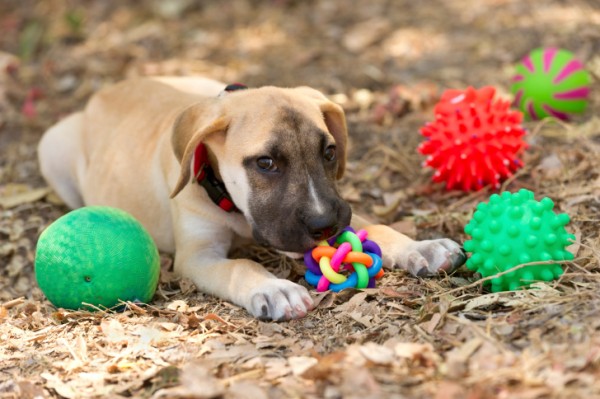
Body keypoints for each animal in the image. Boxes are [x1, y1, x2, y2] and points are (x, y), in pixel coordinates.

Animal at [39, 77, 466, 322]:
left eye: (329, 152)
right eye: (265, 163)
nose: (325, 225)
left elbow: (377, 226)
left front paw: (421, 247)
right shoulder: (197, 256)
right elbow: (240, 266)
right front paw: (275, 289)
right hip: (51, 146)